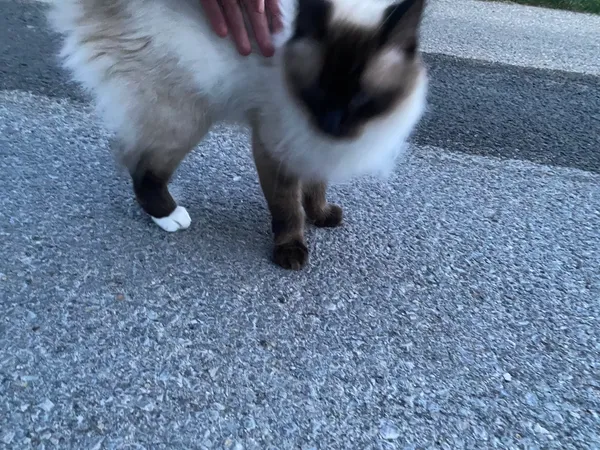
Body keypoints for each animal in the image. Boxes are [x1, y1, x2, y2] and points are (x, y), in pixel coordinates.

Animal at [49, 0, 428, 268]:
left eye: (361, 100)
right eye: (318, 93)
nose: (332, 124)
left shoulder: (308, 142)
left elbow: (315, 186)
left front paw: (321, 215)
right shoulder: (276, 144)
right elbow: (288, 208)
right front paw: (291, 250)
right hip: (187, 116)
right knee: (142, 169)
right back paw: (171, 217)